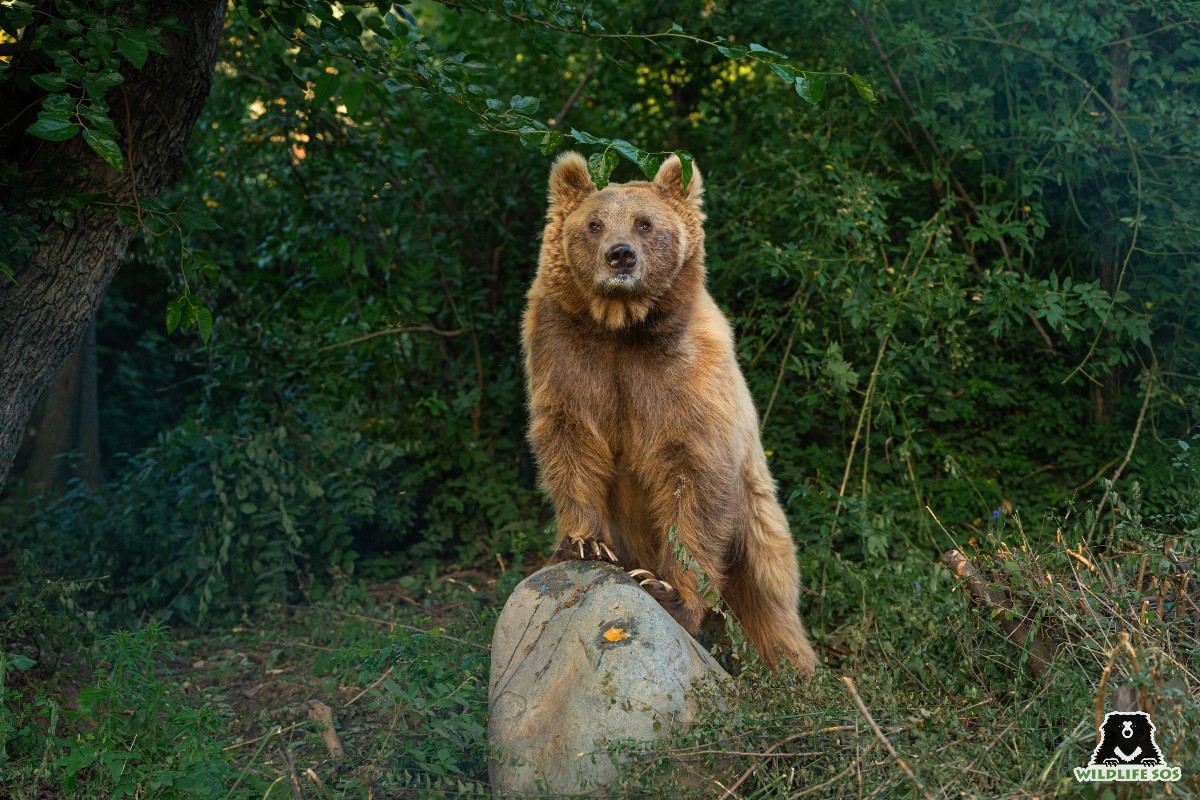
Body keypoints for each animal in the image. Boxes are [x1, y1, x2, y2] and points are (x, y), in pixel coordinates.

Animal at [520, 151, 820, 676]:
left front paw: (665, 588)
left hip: (757, 521)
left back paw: (800, 672)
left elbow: (692, 476)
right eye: (594, 224)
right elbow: (570, 440)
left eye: (645, 223)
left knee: (770, 607)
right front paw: (583, 542)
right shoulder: (566, 352)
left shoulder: (684, 374)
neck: (621, 327)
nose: (621, 256)